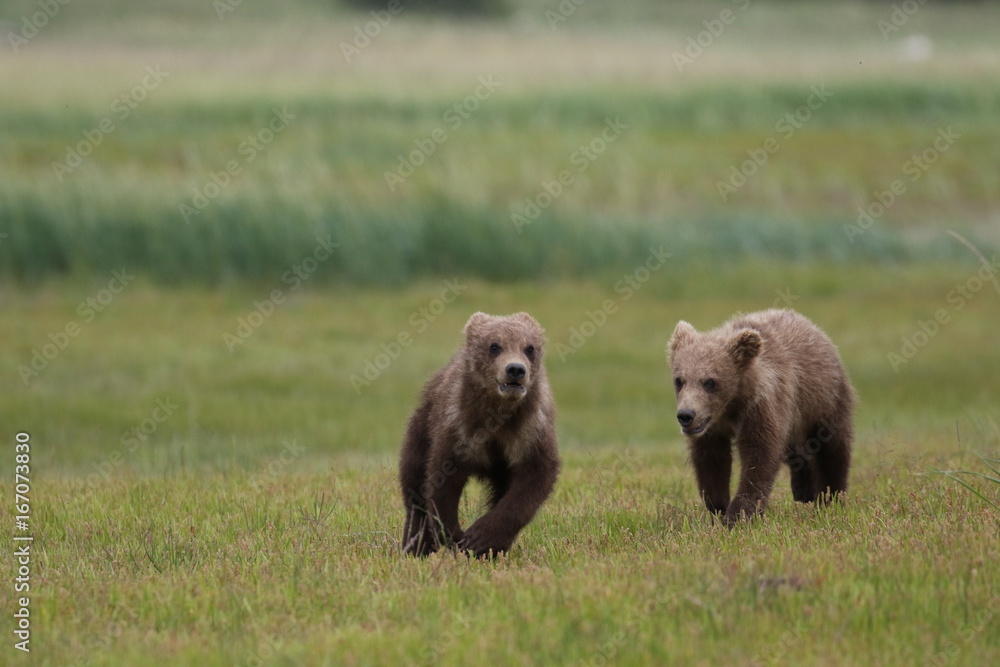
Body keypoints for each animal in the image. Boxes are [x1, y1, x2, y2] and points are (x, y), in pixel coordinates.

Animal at [399, 311, 560, 557]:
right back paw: (415, 543)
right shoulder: (459, 428)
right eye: (494, 345)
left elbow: (533, 480)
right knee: (413, 477)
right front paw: (454, 535)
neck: (498, 414)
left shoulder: (531, 432)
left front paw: (481, 539)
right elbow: (440, 479)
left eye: (529, 348)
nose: (515, 370)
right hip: (423, 422)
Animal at [666, 308, 854, 525]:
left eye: (710, 381)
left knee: (833, 448)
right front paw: (719, 509)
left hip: (824, 399)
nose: (686, 415)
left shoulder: (761, 407)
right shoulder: (712, 428)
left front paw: (739, 515)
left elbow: (759, 456)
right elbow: (711, 461)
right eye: (679, 380)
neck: (731, 406)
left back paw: (830, 498)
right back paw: (804, 491)